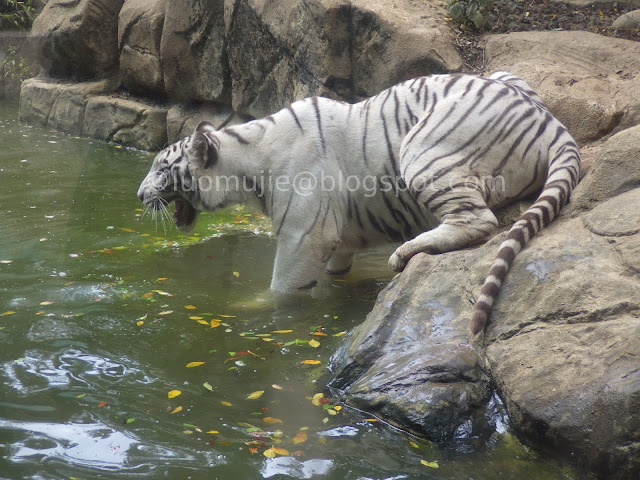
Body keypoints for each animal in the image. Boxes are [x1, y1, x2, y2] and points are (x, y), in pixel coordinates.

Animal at [139, 72, 580, 334]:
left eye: (161, 168)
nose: (140, 195)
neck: (247, 162)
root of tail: (551, 122)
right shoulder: (338, 238)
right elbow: (335, 273)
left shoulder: (303, 236)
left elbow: (283, 289)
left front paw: (253, 307)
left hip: (422, 148)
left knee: (479, 220)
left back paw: (406, 252)